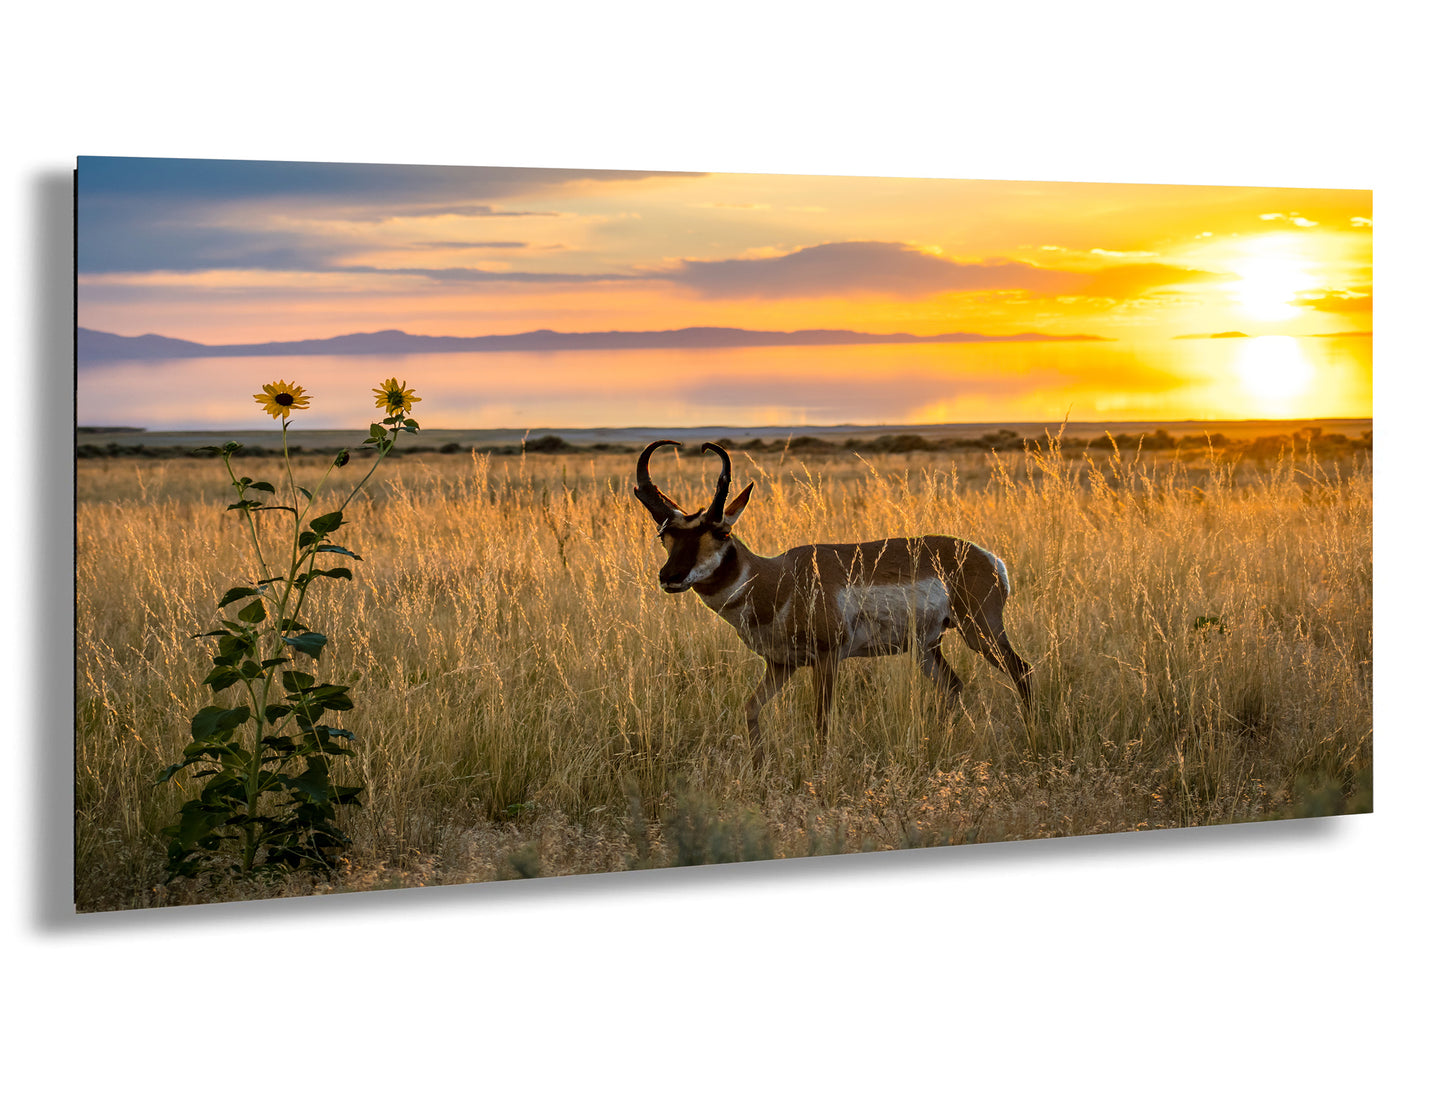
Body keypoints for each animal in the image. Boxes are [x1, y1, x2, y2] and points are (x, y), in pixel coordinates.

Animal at [634, 440, 1032, 764]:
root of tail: (988, 557)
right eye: (664, 536)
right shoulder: (780, 665)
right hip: (926, 647)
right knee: (953, 686)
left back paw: (1031, 734)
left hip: (980, 631)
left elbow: (821, 720)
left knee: (1021, 670)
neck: (777, 578)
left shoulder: (826, 660)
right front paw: (759, 767)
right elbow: (750, 709)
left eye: (719, 532)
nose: (669, 576)